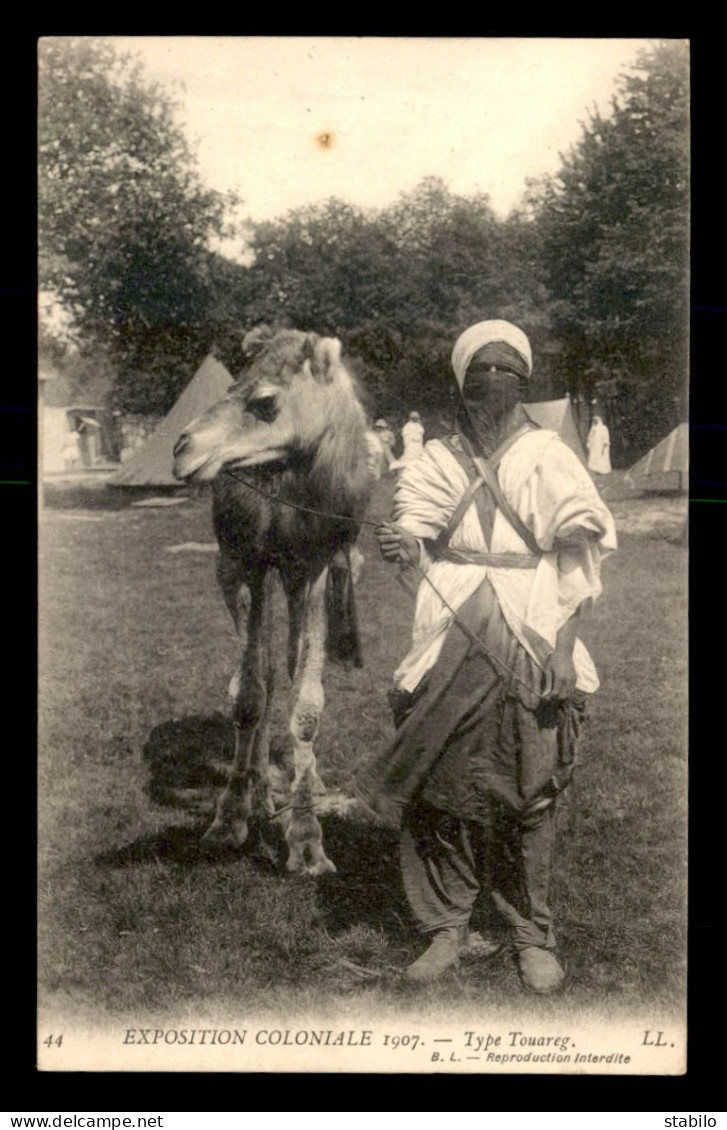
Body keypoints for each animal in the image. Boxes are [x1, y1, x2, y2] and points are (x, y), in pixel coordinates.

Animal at [172, 327, 373, 872]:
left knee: (286, 662)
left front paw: (306, 841)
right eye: (230, 384)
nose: (182, 447)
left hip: (304, 578)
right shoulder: (246, 563)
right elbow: (247, 695)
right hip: (245, 572)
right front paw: (229, 820)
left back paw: (304, 783)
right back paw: (260, 795)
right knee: (261, 667)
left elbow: (306, 702)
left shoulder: (317, 567)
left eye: (265, 402)